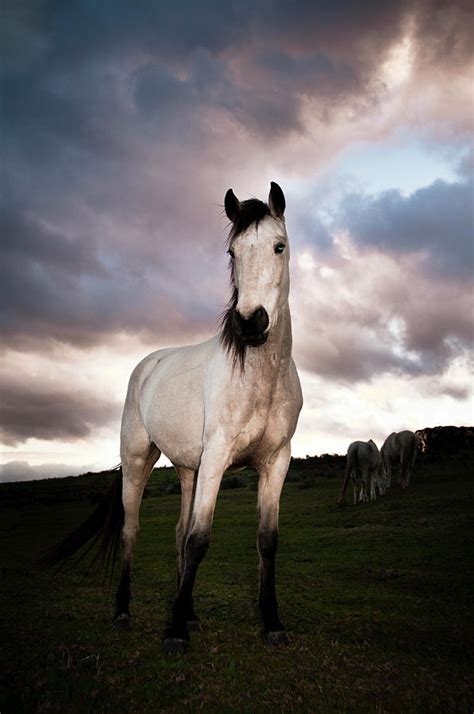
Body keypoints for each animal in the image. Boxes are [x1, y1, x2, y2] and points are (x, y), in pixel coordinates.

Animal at [46, 182, 302, 652]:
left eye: (279, 246)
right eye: (232, 252)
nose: (250, 323)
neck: (260, 378)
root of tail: (148, 364)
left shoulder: (276, 461)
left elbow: (265, 540)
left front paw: (271, 622)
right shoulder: (217, 458)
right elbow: (201, 539)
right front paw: (175, 632)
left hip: (188, 469)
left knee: (179, 534)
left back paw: (191, 613)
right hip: (138, 461)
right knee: (132, 531)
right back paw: (124, 610)